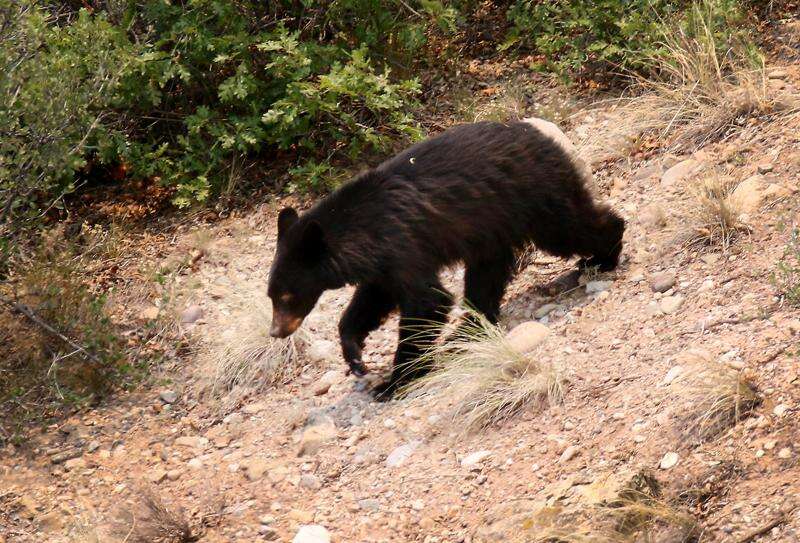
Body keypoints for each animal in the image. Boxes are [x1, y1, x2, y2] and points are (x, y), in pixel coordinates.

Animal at [268, 120, 624, 400]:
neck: (363, 230)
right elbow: (372, 299)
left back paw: (604, 255)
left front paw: (394, 381)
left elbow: (428, 301)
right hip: (492, 224)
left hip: (534, 195)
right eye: (272, 295)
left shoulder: (404, 244)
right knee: (486, 276)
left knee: (569, 227)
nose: (276, 332)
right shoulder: (383, 264)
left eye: (286, 296)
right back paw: (468, 328)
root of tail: (541, 132)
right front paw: (354, 354)